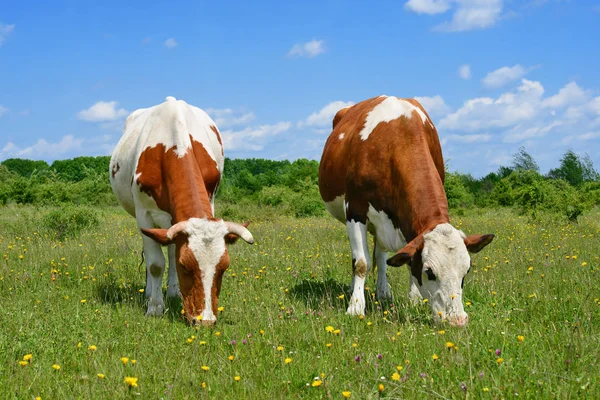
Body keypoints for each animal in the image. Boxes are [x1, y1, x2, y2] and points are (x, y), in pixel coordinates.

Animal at [110, 96, 253, 324]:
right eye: (185, 266)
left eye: (224, 267)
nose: (205, 320)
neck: (174, 147)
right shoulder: (143, 214)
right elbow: (155, 264)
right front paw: (155, 308)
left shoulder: (209, 201)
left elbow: (170, 254)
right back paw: (151, 292)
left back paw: (173, 292)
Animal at [318, 95, 492, 326]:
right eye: (429, 272)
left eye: (467, 271)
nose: (457, 320)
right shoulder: (355, 211)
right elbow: (361, 263)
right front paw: (355, 308)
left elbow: (405, 259)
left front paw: (414, 300)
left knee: (382, 257)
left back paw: (383, 293)